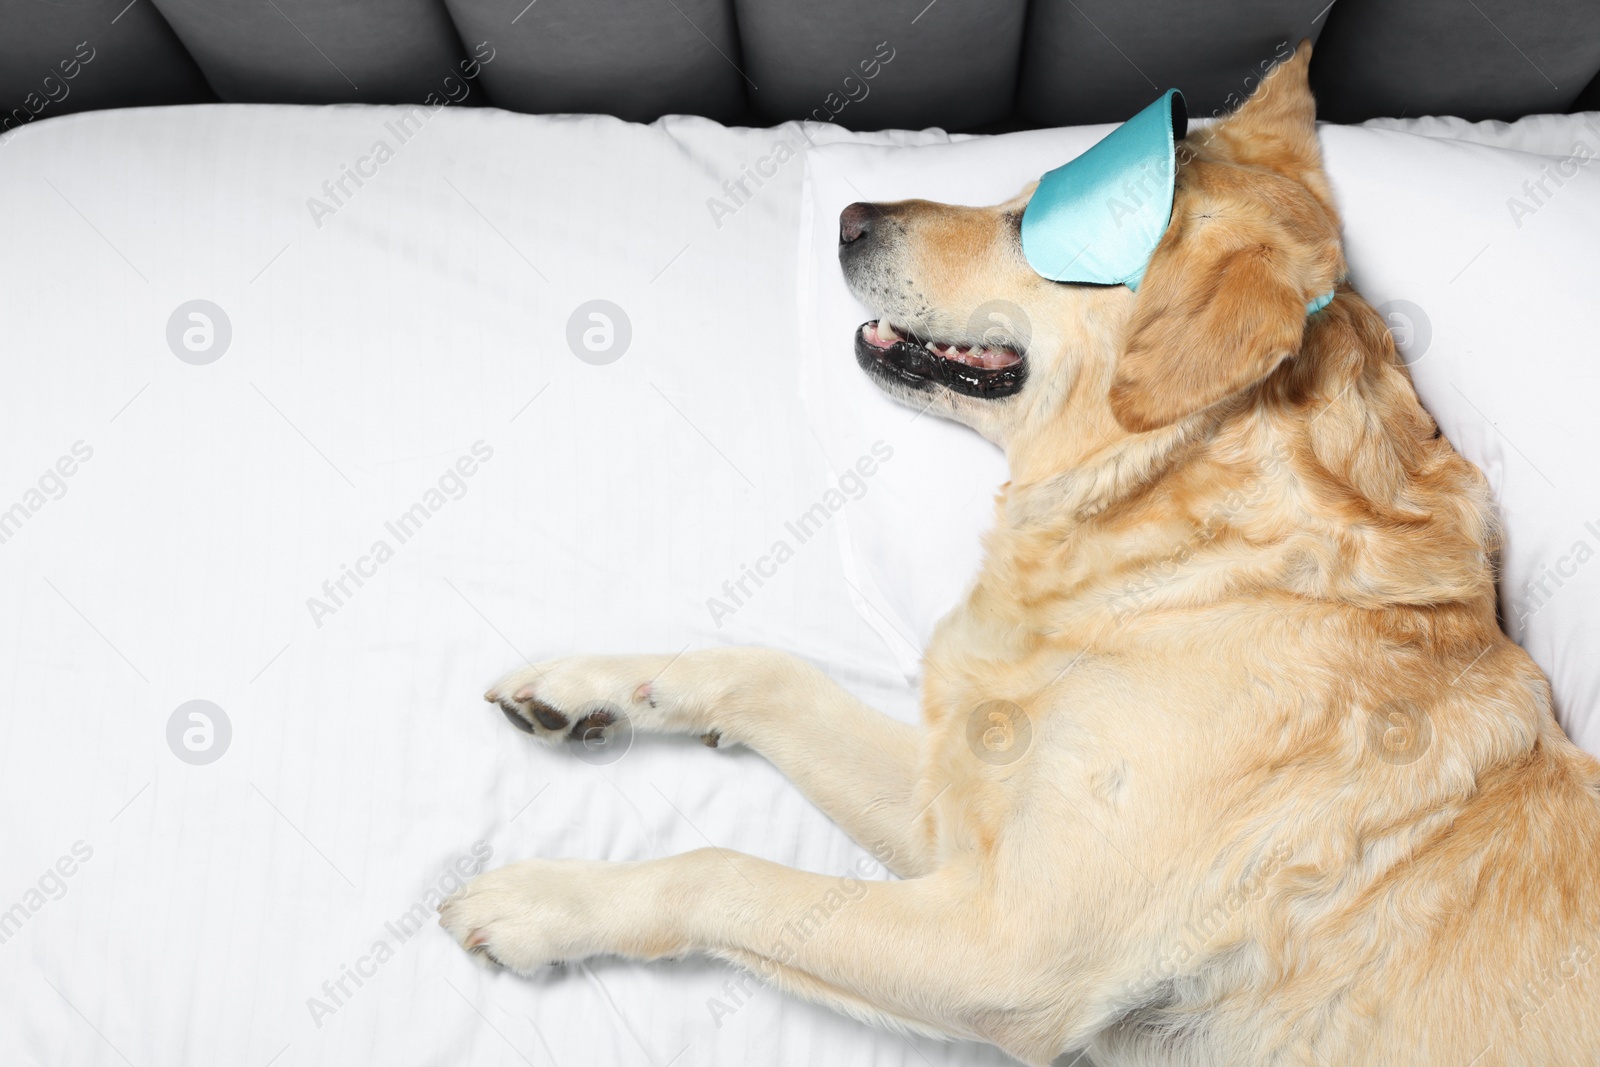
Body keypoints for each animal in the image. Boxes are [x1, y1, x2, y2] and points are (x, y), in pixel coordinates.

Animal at [441, 43, 1600, 1067]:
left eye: (1027, 226)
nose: (851, 217)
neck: (1180, 540)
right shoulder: (954, 817)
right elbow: (767, 670)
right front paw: (589, 686)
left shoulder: (1006, 947)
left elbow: (726, 872)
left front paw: (543, 900)